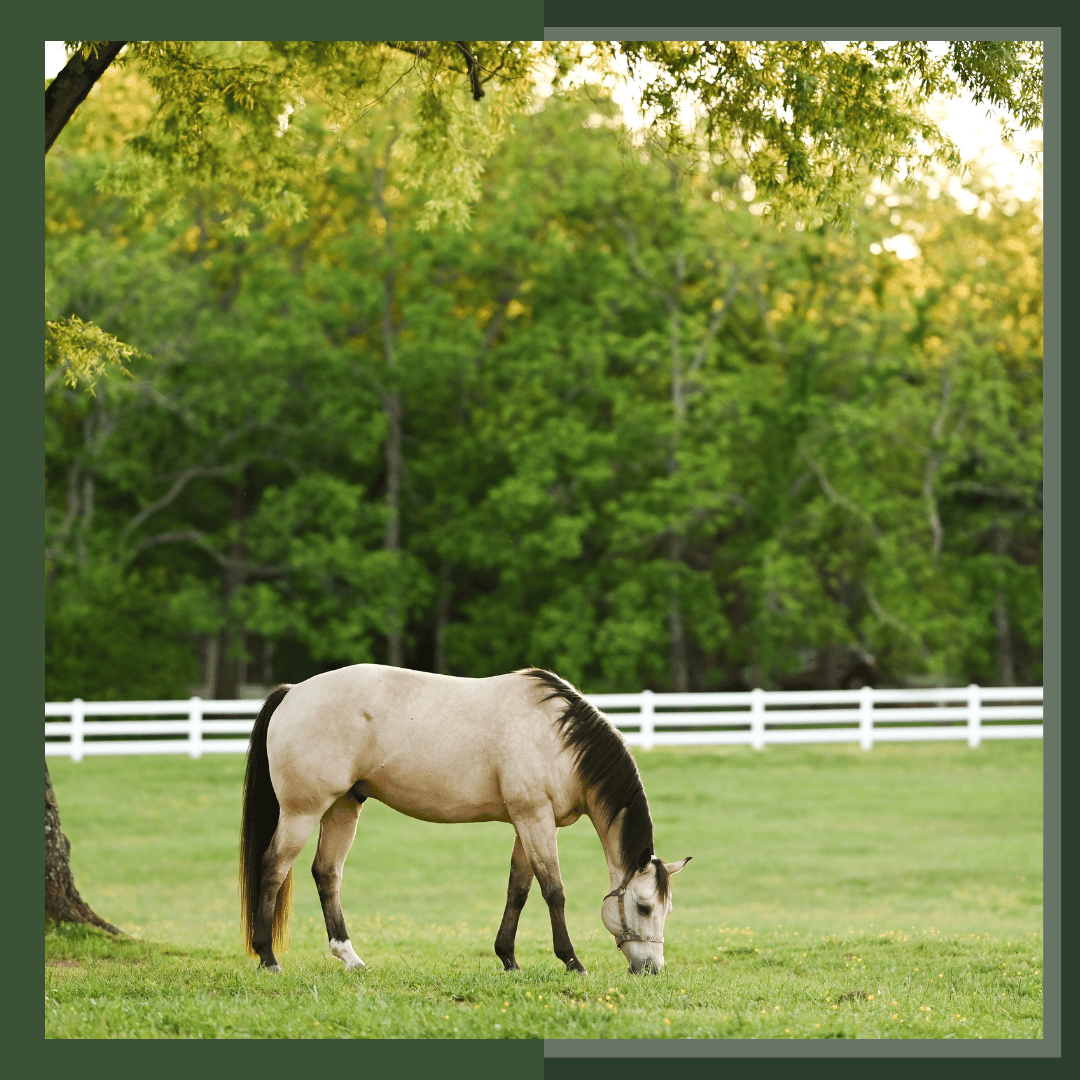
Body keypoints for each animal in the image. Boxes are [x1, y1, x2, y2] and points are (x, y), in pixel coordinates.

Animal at [241, 660, 691, 976]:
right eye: (644, 907)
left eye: (667, 910)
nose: (651, 969)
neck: (558, 738)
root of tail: (293, 692)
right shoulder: (535, 819)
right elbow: (553, 891)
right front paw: (572, 962)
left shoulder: (526, 822)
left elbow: (518, 890)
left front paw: (508, 959)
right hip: (302, 812)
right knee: (273, 867)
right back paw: (268, 957)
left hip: (342, 808)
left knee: (327, 873)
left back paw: (349, 957)